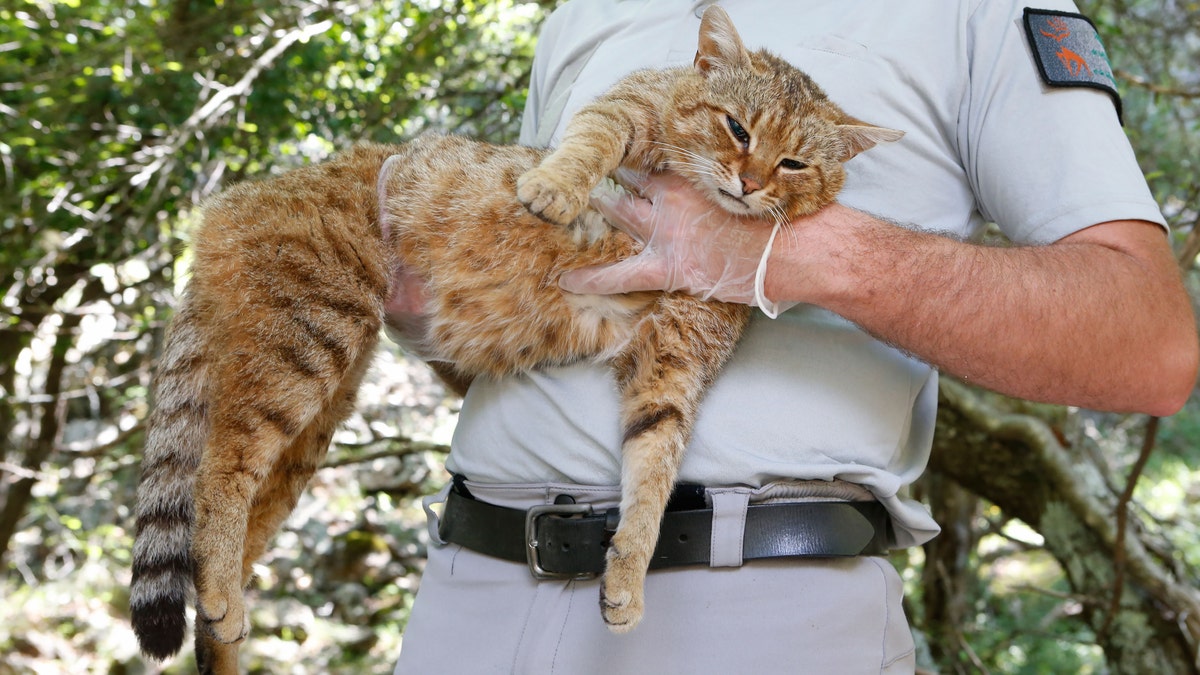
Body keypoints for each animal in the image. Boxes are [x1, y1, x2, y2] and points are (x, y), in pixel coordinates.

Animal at [129, 3, 902, 667]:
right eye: (738, 129)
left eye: (793, 163)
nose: (749, 183)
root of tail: (232, 201)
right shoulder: (631, 105)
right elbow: (591, 138)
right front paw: (553, 187)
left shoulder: (672, 361)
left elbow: (654, 470)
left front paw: (628, 572)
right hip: (308, 338)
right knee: (218, 472)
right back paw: (222, 593)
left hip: (314, 411)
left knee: (227, 517)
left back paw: (225, 620)